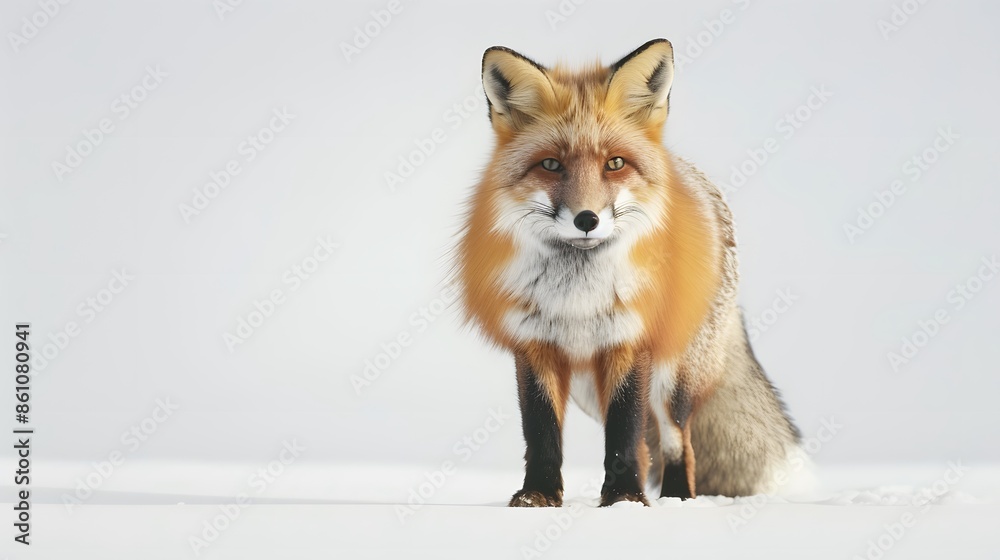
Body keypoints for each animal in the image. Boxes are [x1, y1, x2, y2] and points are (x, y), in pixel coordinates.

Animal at [455, 39, 803, 507]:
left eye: (615, 163)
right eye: (551, 165)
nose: (586, 219)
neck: (578, 298)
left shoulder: (628, 341)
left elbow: (623, 434)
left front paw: (623, 501)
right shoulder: (535, 345)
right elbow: (542, 433)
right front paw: (538, 496)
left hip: (671, 378)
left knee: (677, 440)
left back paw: (677, 500)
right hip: (590, 387)